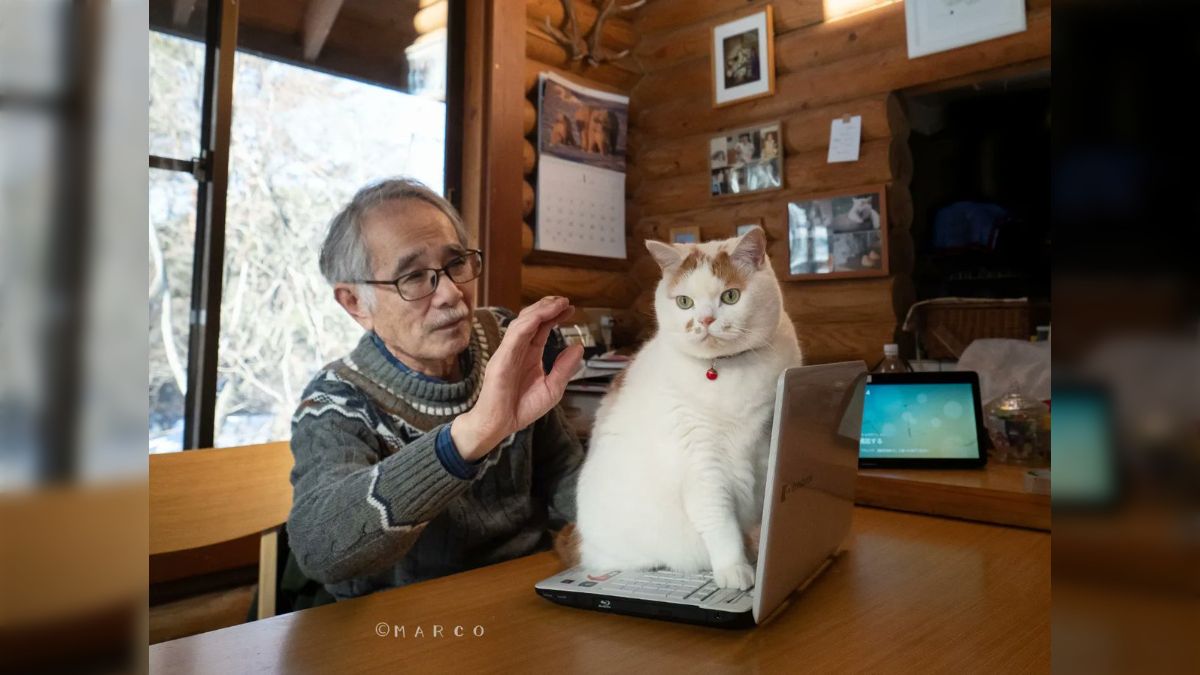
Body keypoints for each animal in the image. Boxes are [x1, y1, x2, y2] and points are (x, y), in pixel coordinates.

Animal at [573, 227, 806, 588]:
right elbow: (719, 520)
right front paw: (735, 569)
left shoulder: (768, 439)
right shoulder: (700, 460)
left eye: (730, 296)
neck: (724, 369)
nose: (705, 320)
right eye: (685, 302)